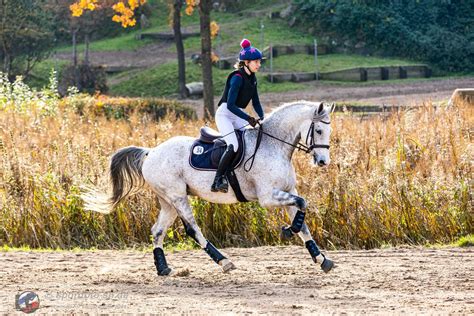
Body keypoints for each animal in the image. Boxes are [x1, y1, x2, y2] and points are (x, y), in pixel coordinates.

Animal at [83, 100, 336, 274]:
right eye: (319, 130)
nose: (323, 162)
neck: (273, 146)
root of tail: (150, 152)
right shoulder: (268, 197)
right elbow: (303, 205)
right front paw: (288, 230)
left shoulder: (288, 191)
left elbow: (304, 220)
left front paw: (321, 259)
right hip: (178, 197)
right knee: (193, 230)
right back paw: (224, 261)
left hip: (168, 201)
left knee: (157, 231)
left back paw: (163, 268)